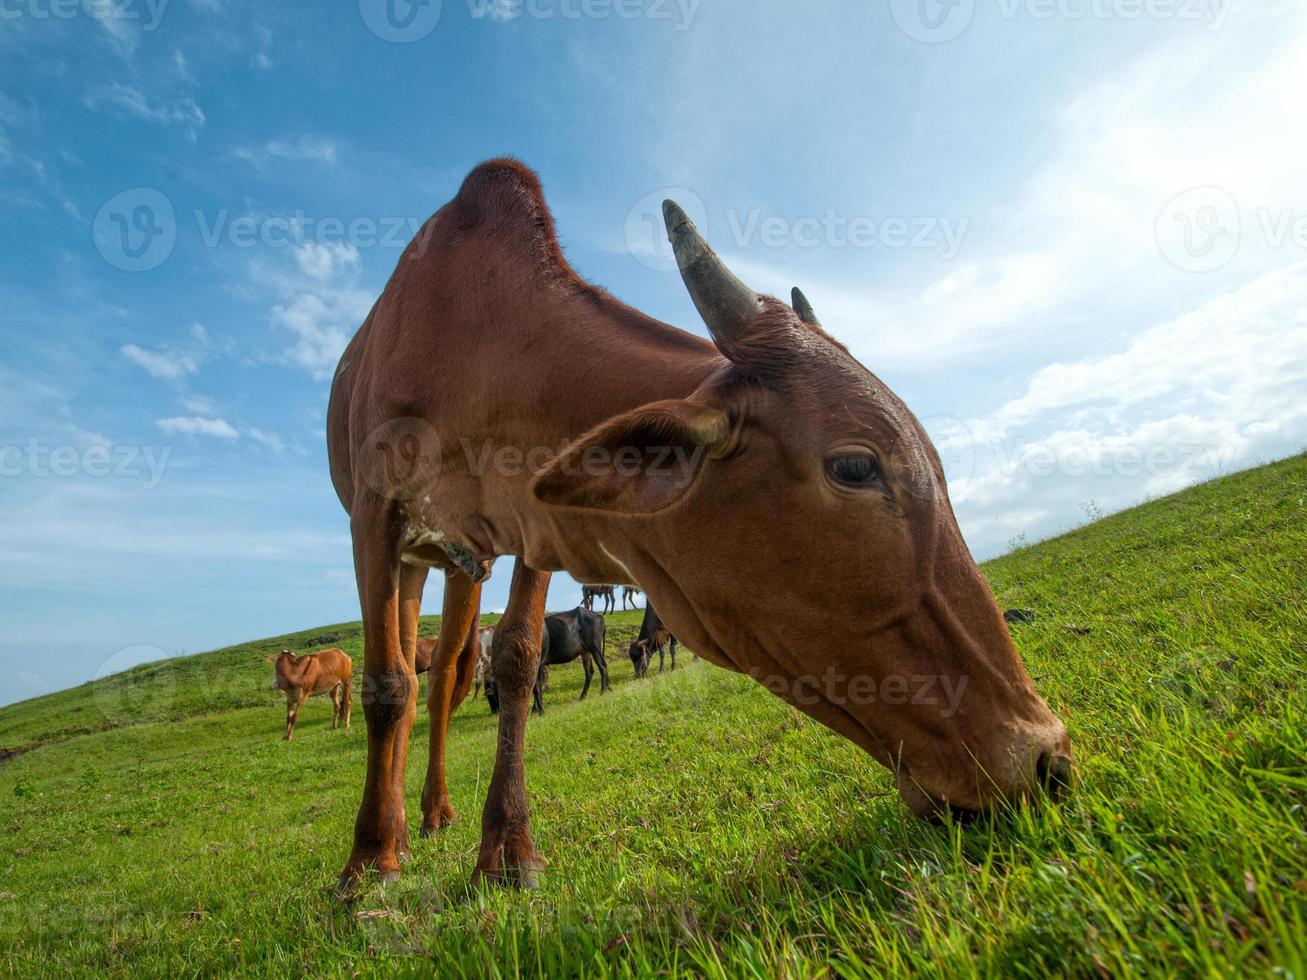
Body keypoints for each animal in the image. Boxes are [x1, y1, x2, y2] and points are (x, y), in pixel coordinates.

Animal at [326, 161, 1071, 898]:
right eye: (855, 465)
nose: (1047, 758)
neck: (480, 342)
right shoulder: (374, 517)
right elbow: (386, 684)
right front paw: (367, 866)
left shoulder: (532, 531)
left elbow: (514, 659)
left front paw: (508, 851)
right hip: (416, 558)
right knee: (417, 680)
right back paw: (401, 830)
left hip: (463, 565)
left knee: (446, 678)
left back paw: (435, 812)